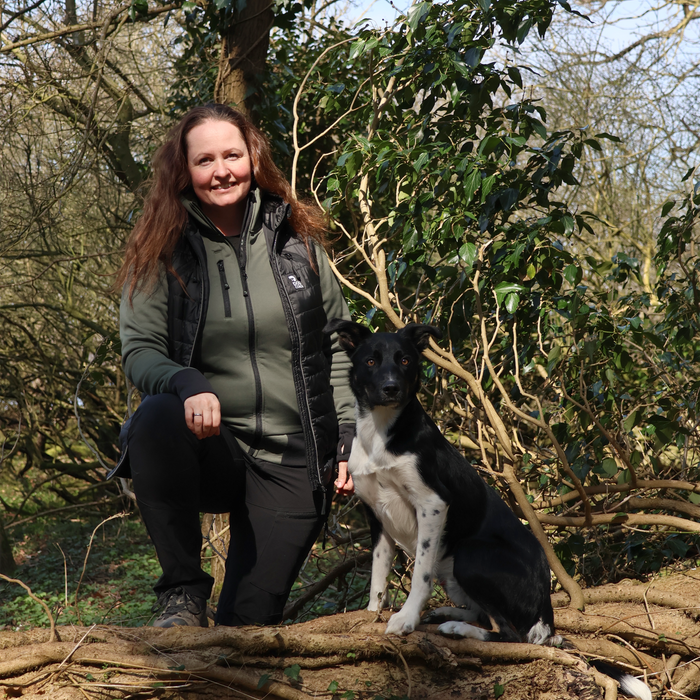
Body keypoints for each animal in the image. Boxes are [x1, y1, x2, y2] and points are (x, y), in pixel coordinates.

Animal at [326, 322, 652, 700]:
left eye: (405, 359)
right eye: (371, 360)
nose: (391, 387)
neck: (382, 432)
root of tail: (547, 614)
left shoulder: (433, 504)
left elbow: (419, 573)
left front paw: (406, 618)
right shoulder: (376, 517)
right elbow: (378, 580)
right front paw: (373, 613)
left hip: (471, 553)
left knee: (512, 635)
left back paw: (456, 627)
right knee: (486, 616)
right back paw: (449, 613)